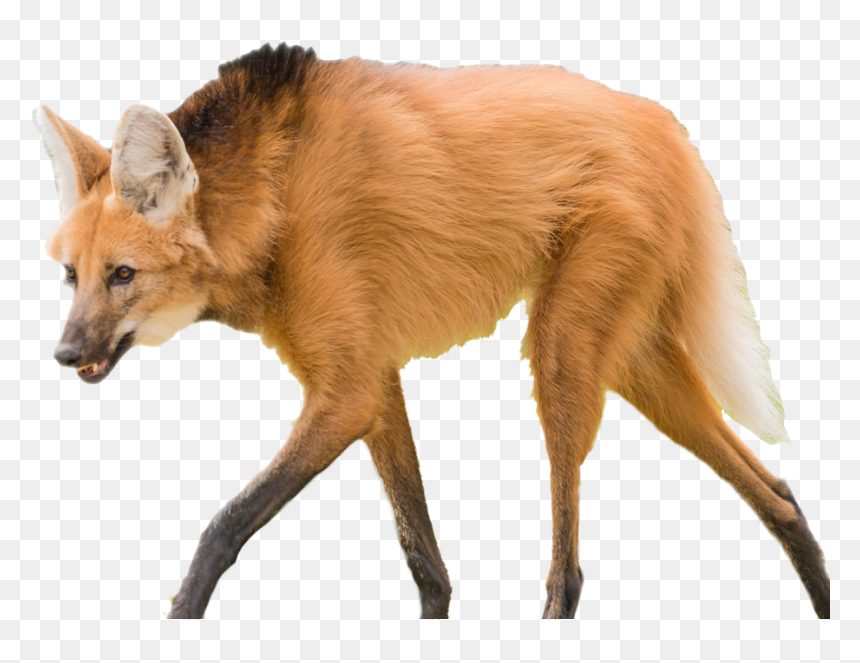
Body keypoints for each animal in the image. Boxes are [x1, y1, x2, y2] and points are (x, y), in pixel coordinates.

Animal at [34, 43, 829, 619]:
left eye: (123, 275)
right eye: (73, 276)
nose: (65, 353)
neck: (272, 201)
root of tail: (663, 123)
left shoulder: (347, 392)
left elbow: (224, 525)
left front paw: (181, 615)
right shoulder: (373, 381)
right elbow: (427, 563)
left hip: (562, 352)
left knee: (570, 567)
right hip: (633, 356)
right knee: (778, 493)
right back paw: (823, 607)